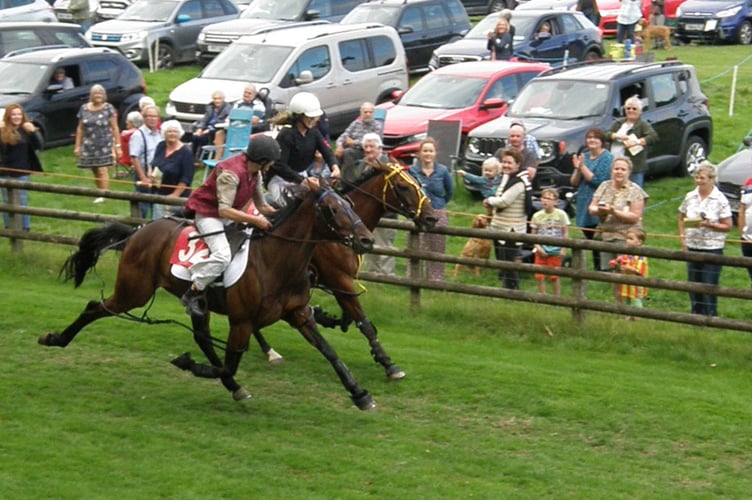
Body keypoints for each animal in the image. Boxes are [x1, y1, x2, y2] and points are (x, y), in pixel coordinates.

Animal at [37, 184, 378, 410]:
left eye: (350, 203)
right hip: (133, 292)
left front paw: (359, 393)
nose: (366, 240)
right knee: (95, 307)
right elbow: (229, 364)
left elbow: (329, 351)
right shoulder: (241, 322)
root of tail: (137, 232)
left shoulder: (298, 314)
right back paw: (55, 338)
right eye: (333, 209)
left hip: (194, 305)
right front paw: (189, 364)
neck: (275, 260)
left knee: (201, 337)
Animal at [253, 162, 438, 376]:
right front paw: (388, 363)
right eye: (403, 186)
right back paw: (270, 351)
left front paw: (326, 317)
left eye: (418, 183)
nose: (432, 218)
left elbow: (349, 317)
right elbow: (363, 323)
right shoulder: (339, 279)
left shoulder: (339, 284)